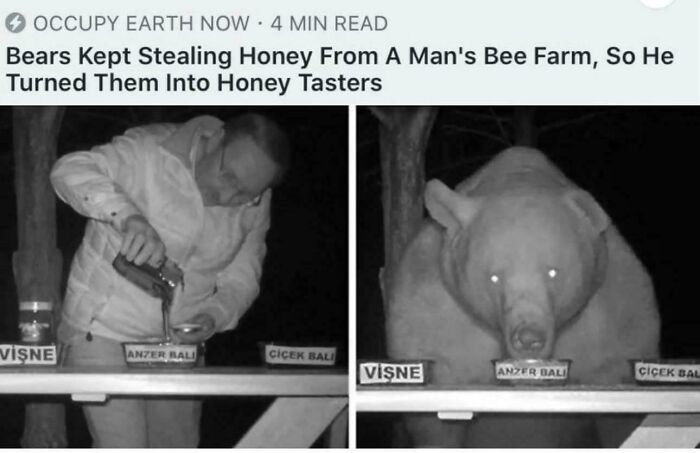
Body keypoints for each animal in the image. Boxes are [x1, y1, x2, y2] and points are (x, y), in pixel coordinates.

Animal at [386, 147, 660, 446]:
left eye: (553, 271)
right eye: (494, 277)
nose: (529, 338)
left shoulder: (612, 316)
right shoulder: (434, 311)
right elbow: (436, 416)